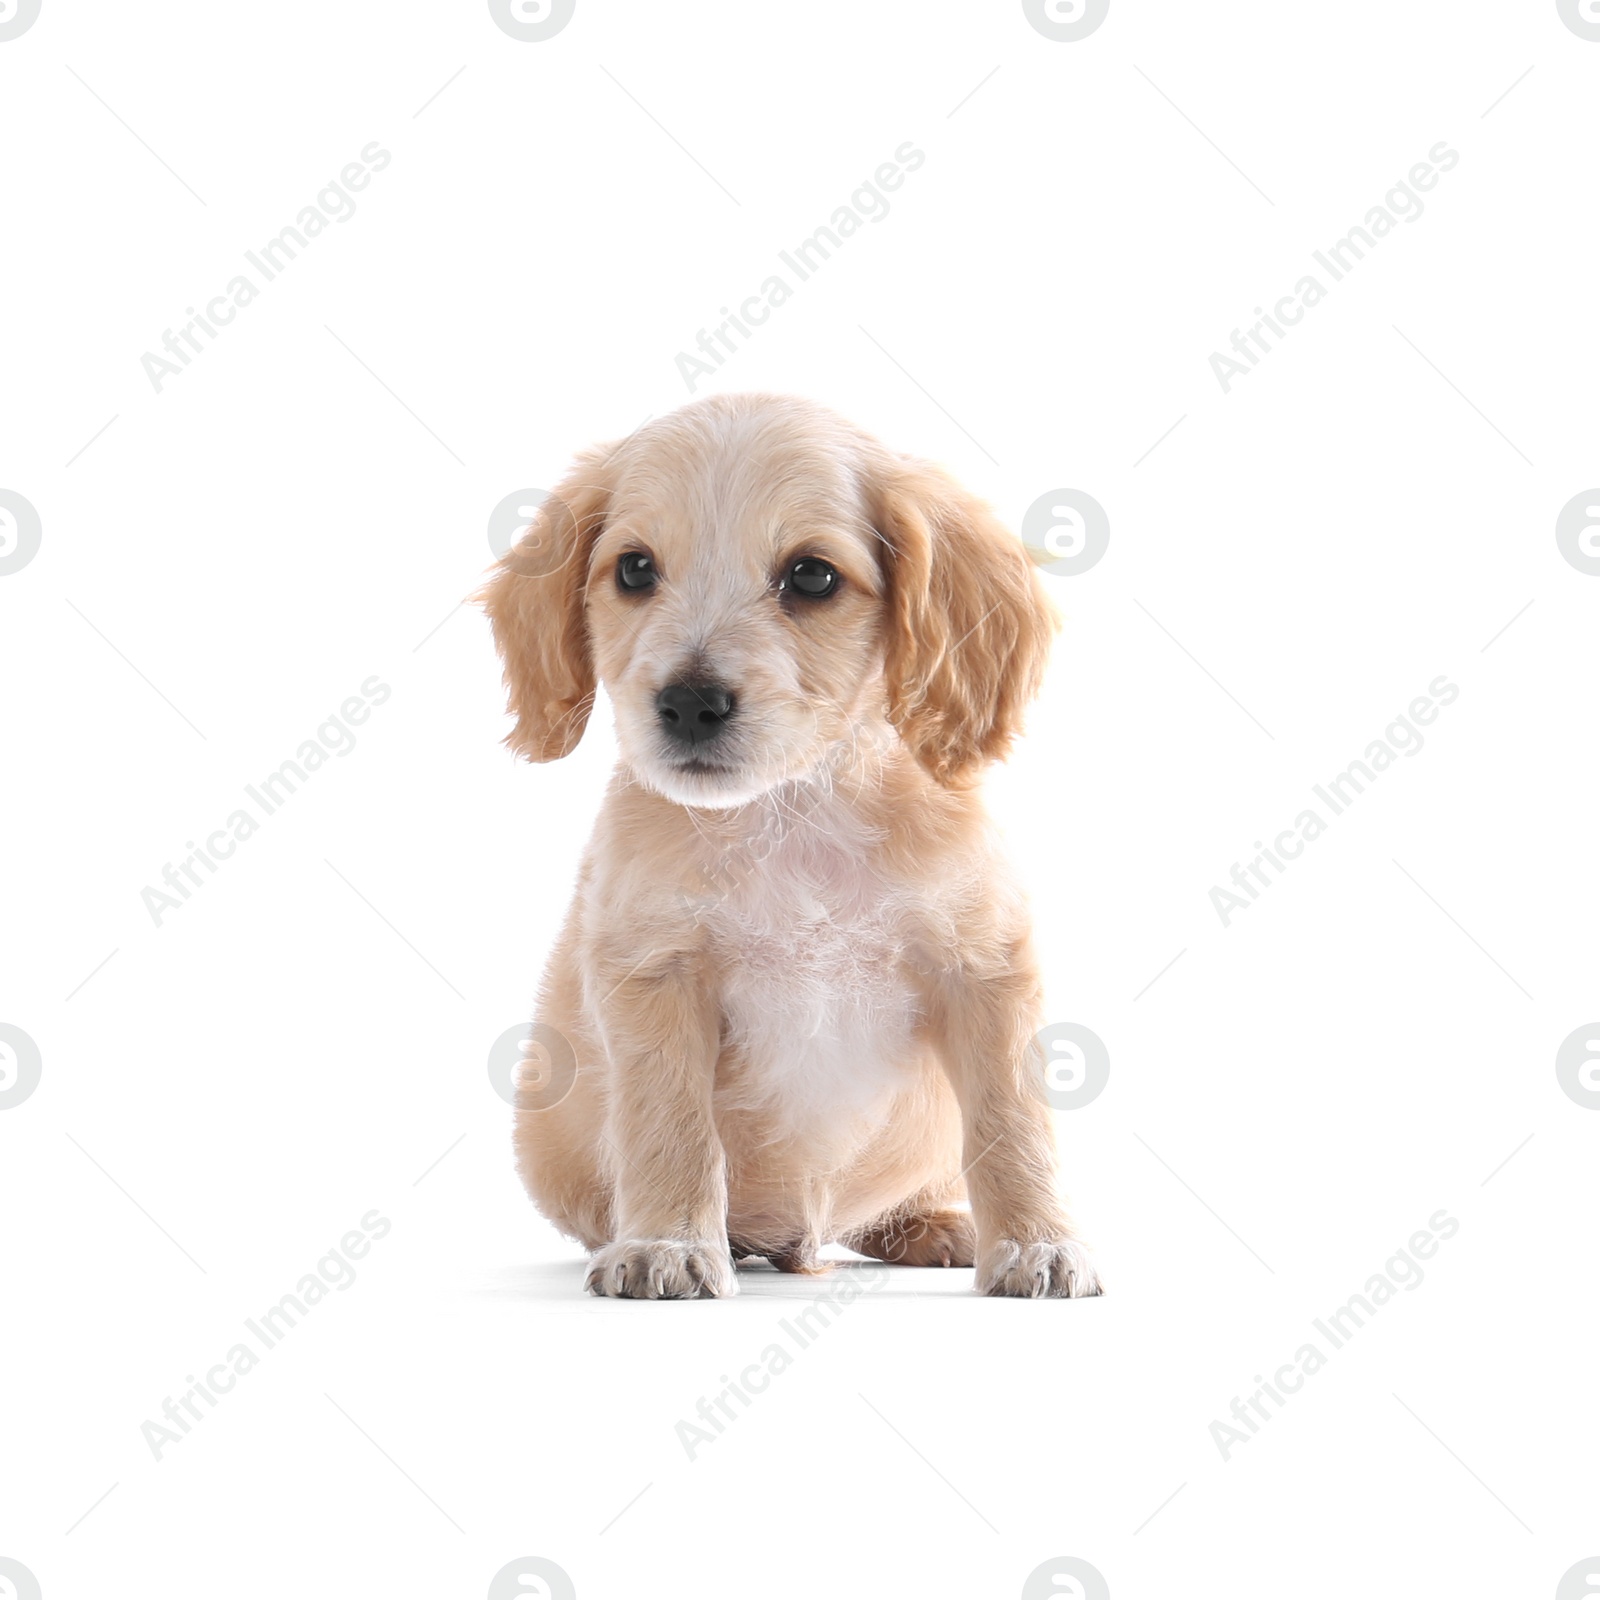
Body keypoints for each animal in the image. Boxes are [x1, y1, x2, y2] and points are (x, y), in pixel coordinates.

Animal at [473, 390, 1100, 1299]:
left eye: (811, 576)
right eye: (634, 569)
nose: (688, 703)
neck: (793, 812)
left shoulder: (983, 967)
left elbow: (1012, 1123)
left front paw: (1037, 1242)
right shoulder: (653, 974)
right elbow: (669, 1124)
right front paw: (666, 1242)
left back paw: (936, 1223)